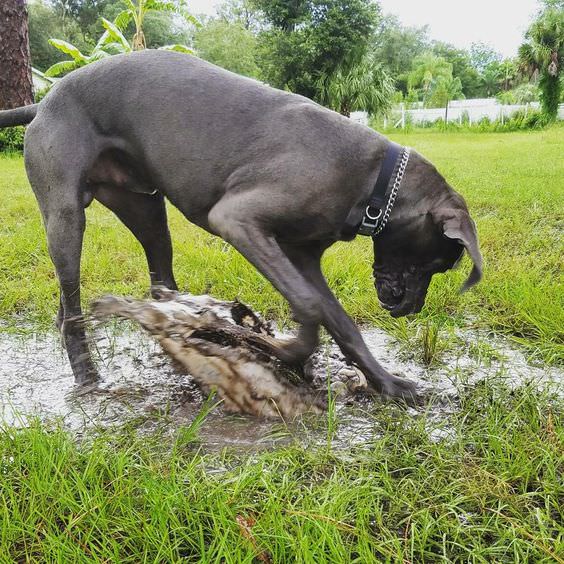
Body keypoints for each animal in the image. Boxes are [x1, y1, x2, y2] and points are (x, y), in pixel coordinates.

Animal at [2, 49, 482, 400]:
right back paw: (89, 376)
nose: (411, 309)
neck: (372, 180)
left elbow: (339, 320)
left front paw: (387, 383)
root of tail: (44, 100)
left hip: (146, 209)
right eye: (438, 263)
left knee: (149, 284)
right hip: (66, 216)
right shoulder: (239, 220)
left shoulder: (302, 258)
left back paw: (177, 338)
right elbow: (308, 307)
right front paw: (281, 350)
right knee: (70, 303)